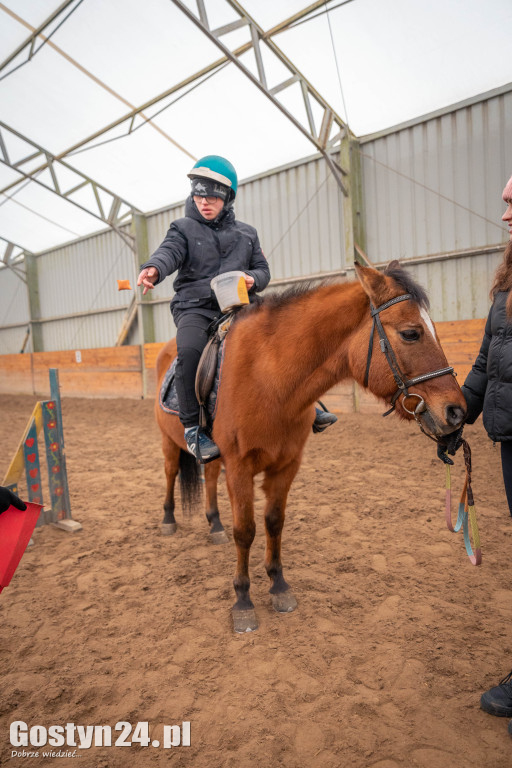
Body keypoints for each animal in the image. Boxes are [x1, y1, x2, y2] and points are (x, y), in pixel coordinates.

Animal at [154, 260, 466, 632]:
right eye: (410, 333)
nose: (457, 411)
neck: (269, 379)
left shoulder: (287, 464)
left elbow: (274, 522)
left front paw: (278, 585)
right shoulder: (241, 467)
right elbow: (245, 531)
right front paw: (243, 601)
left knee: (211, 477)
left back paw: (214, 524)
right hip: (169, 442)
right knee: (171, 473)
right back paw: (169, 520)